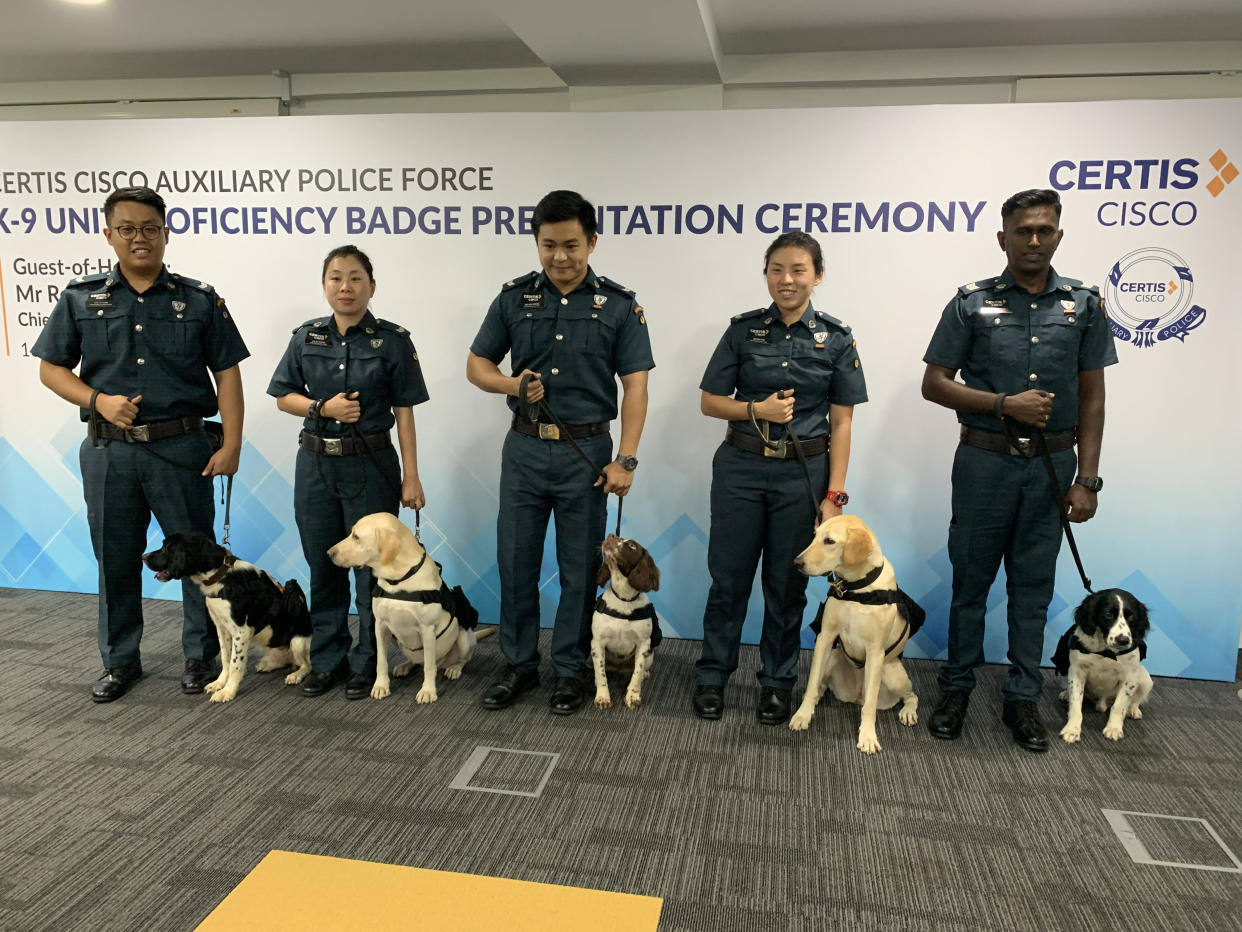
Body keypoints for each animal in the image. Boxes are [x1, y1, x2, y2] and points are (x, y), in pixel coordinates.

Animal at [142, 531, 310, 700]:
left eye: (166, 547)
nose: (143, 556)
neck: (220, 577)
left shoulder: (242, 631)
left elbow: (235, 664)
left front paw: (228, 691)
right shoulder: (222, 627)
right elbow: (225, 657)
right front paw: (219, 683)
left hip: (298, 641)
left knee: (307, 665)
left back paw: (296, 675)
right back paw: (267, 664)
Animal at [327, 514, 481, 705]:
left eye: (356, 537)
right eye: (351, 534)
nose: (328, 553)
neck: (398, 578)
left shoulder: (427, 630)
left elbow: (429, 667)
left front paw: (428, 691)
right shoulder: (380, 625)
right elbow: (381, 662)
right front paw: (380, 686)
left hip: (463, 637)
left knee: (460, 659)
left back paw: (454, 668)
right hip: (395, 636)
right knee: (416, 661)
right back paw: (405, 666)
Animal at [588, 536, 660, 710]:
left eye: (632, 545)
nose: (611, 536)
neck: (623, 597)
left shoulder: (644, 644)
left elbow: (637, 673)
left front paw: (633, 696)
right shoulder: (597, 643)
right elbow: (601, 674)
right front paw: (602, 697)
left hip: (651, 654)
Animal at [784, 514, 924, 755]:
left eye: (829, 541)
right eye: (815, 536)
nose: (796, 563)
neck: (856, 588)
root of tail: (856, 696)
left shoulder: (875, 651)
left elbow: (870, 706)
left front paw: (867, 736)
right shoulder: (825, 638)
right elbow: (811, 683)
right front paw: (803, 714)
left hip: (892, 674)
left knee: (908, 696)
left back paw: (908, 712)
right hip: (832, 657)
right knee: (822, 684)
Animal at [1058, 591, 1152, 745]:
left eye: (1132, 617)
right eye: (1108, 614)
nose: (1123, 640)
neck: (1105, 651)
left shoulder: (1130, 677)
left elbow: (1119, 706)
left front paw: (1114, 728)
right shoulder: (1077, 671)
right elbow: (1076, 704)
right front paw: (1072, 729)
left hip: (1145, 679)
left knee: (1135, 700)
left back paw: (1133, 710)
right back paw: (1066, 694)